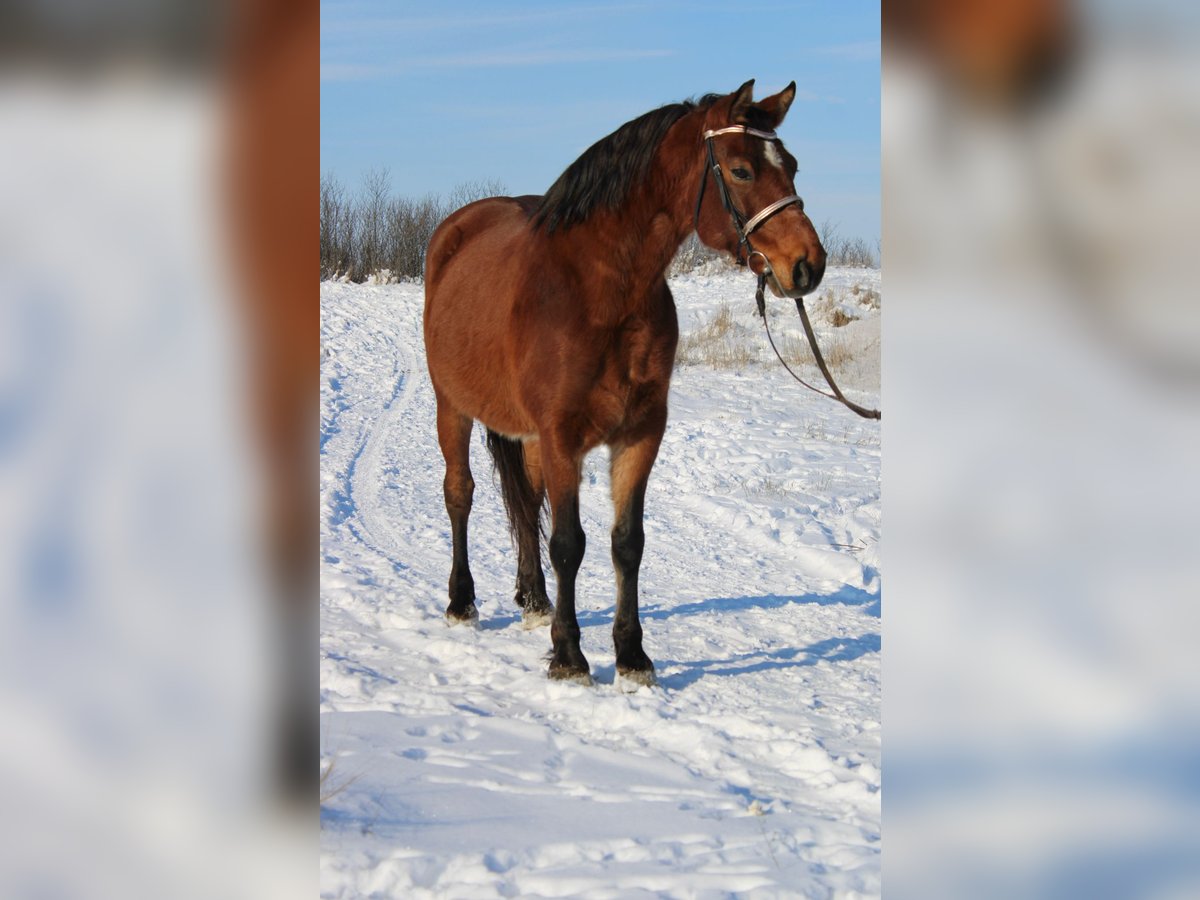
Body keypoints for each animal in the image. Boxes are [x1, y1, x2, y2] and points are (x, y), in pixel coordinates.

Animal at [423, 80, 826, 686]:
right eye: (741, 170)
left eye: (794, 166)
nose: (808, 265)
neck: (601, 291)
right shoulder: (563, 436)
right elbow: (569, 544)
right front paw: (569, 656)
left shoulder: (639, 432)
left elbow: (626, 543)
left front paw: (632, 655)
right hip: (454, 407)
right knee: (460, 495)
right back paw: (461, 601)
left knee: (527, 504)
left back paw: (534, 600)